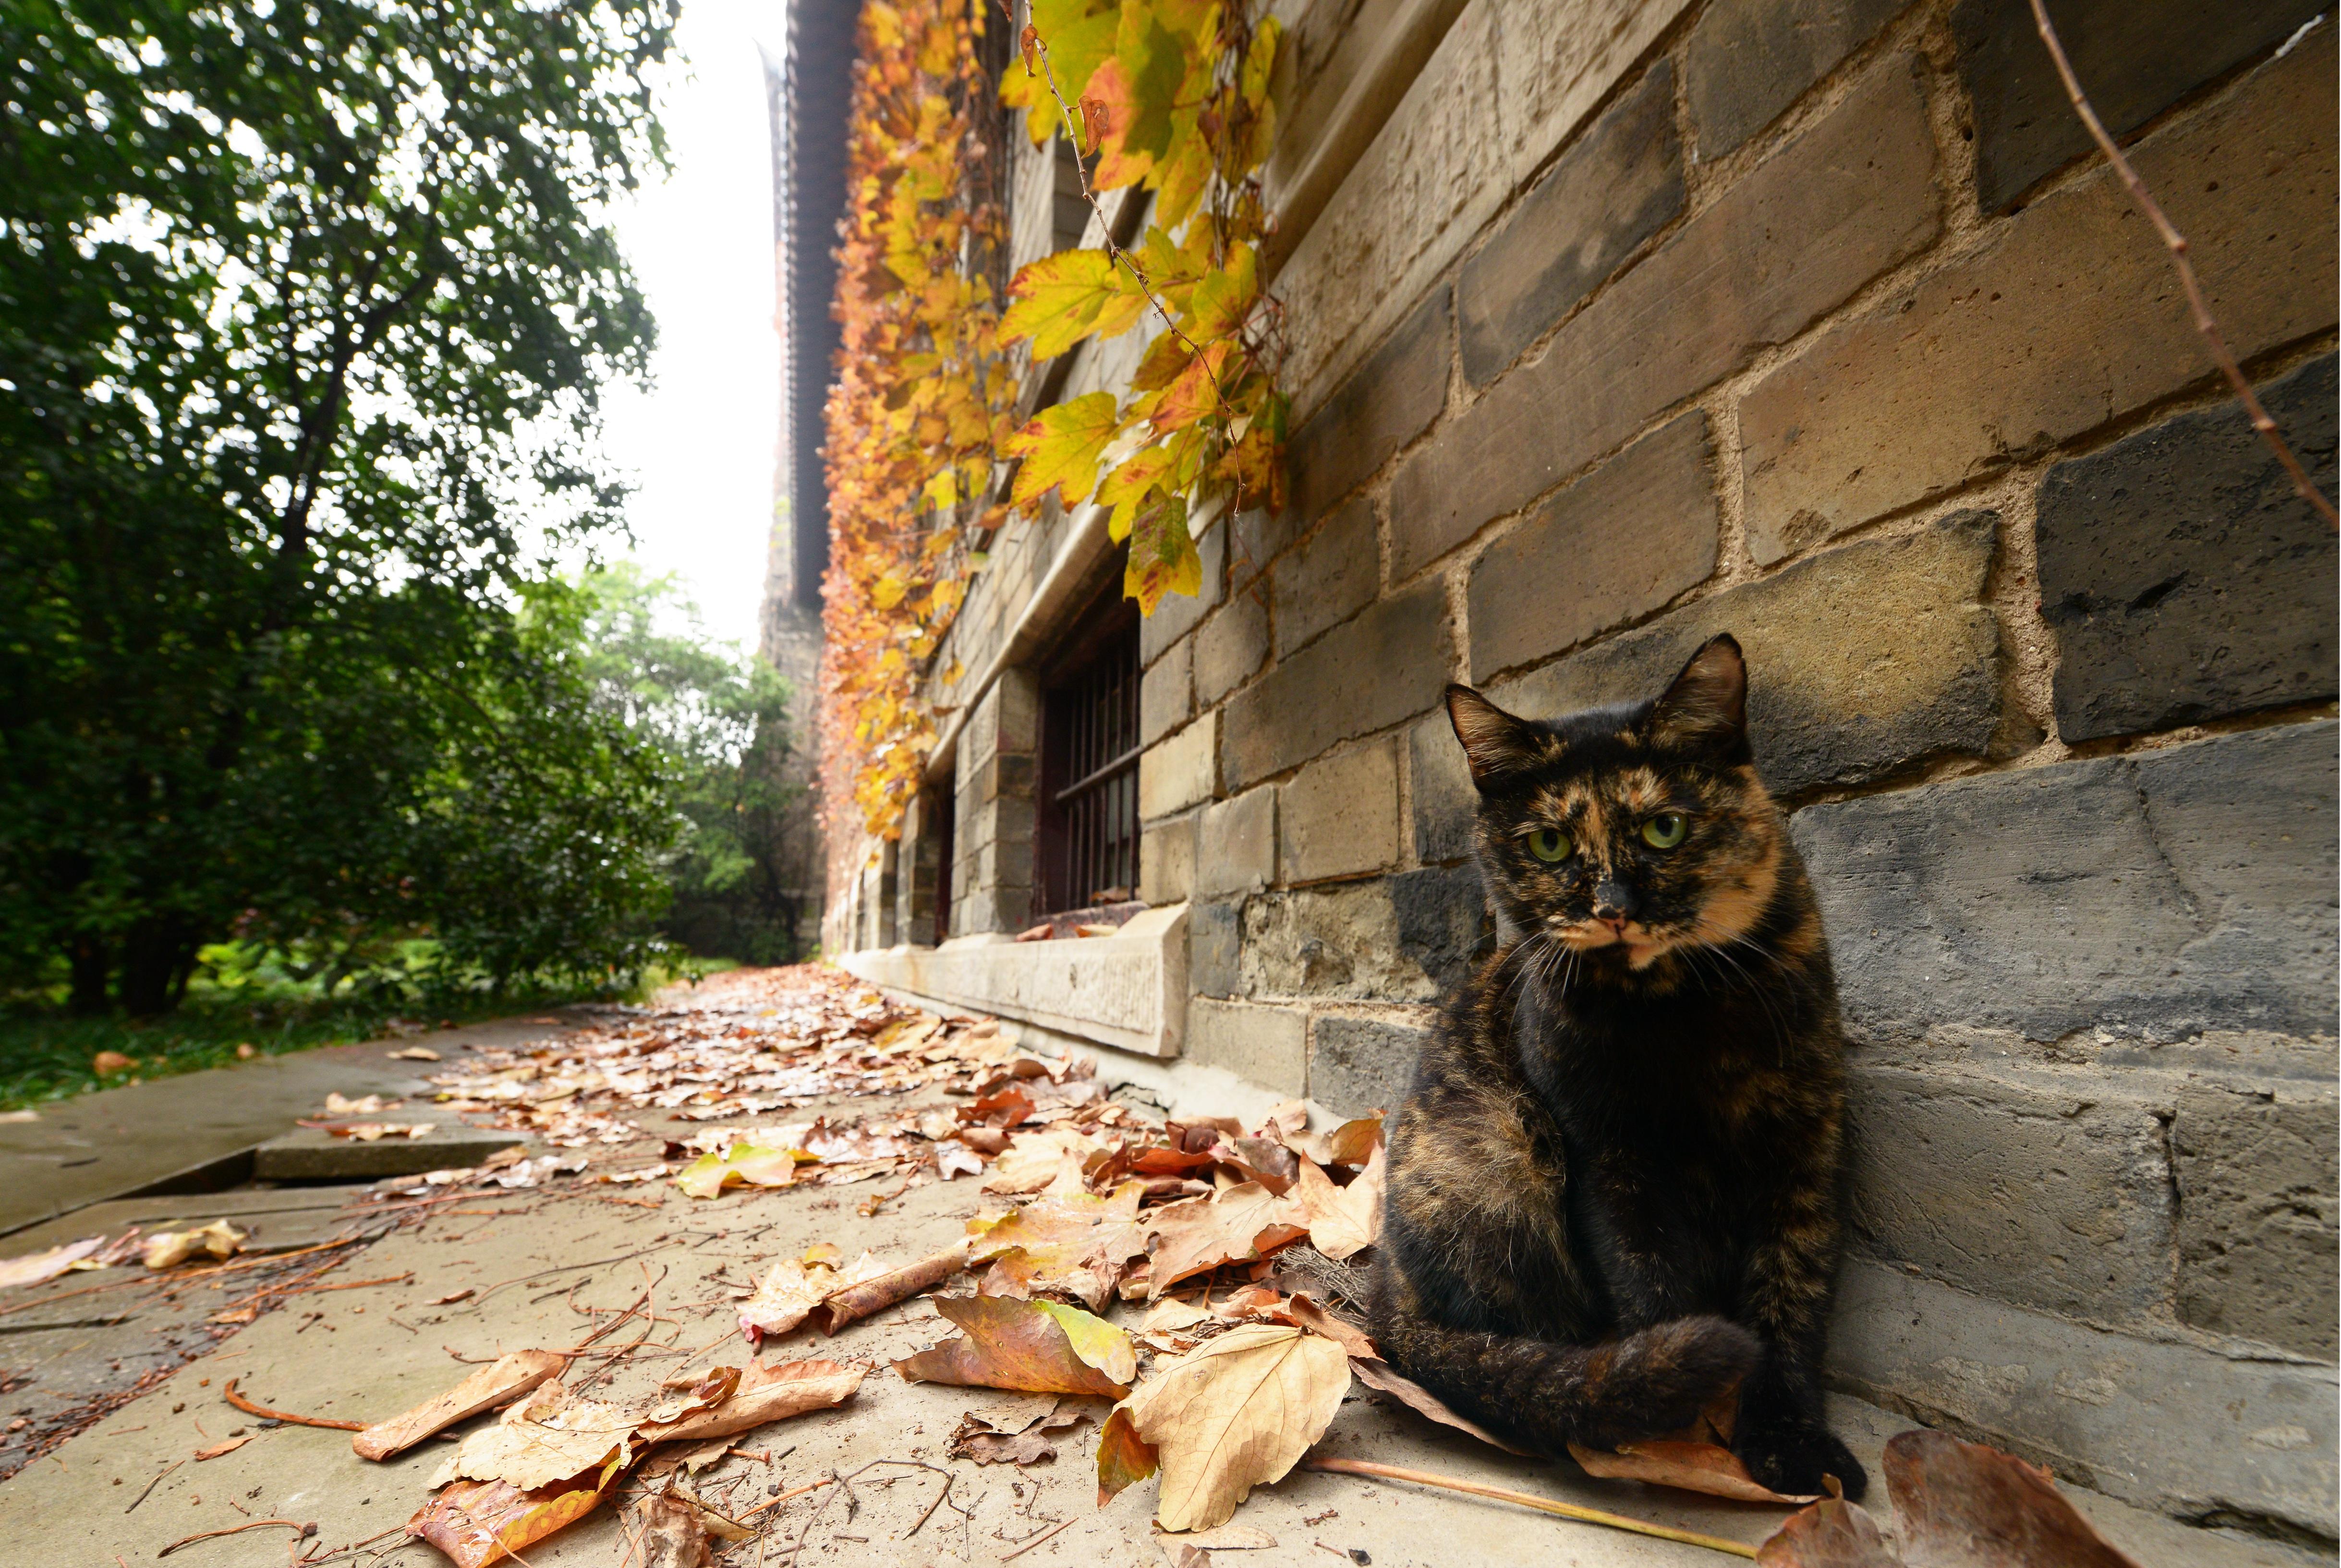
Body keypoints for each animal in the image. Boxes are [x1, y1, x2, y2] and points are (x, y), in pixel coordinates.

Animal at [1367, 641, 1863, 1507]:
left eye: (1665, 828)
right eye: (1549, 846)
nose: (1611, 907)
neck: (1672, 1014)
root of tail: (1385, 1282)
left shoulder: (1805, 1148)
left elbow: (1791, 1300)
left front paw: (1792, 1442)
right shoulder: (1610, 1157)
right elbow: (1649, 1282)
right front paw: (1675, 1413)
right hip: (1500, 1153)